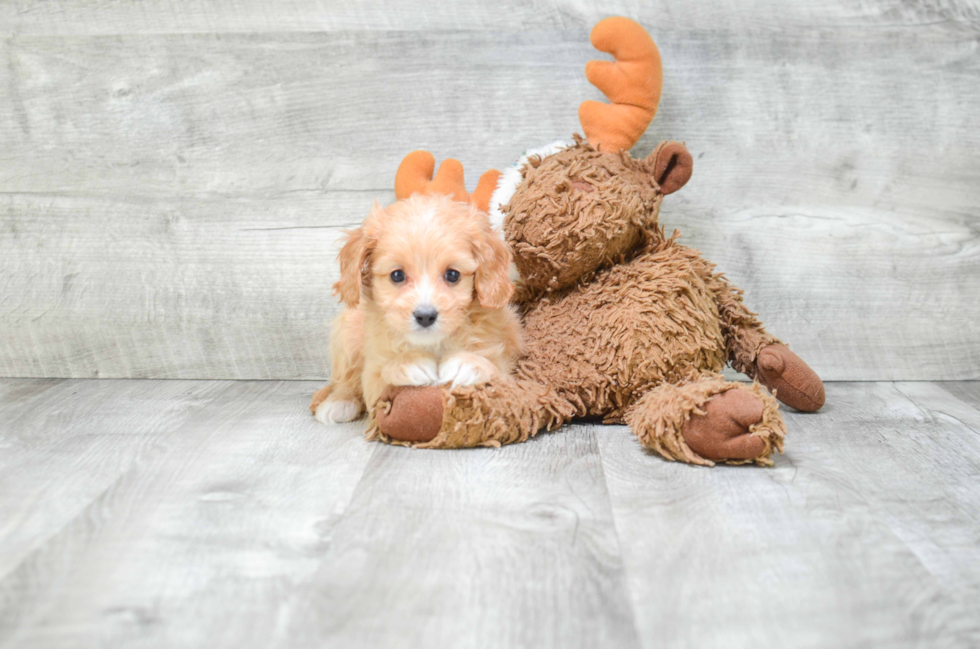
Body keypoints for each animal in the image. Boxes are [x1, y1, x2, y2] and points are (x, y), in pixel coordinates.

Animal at [312, 192, 520, 426]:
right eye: (397, 275)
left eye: (452, 274)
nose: (425, 316)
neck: (432, 344)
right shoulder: (373, 376)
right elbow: (378, 377)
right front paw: (407, 364)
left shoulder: (509, 370)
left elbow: (497, 369)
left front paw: (469, 363)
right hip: (347, 333)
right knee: (345, 378)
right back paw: (338, 402)